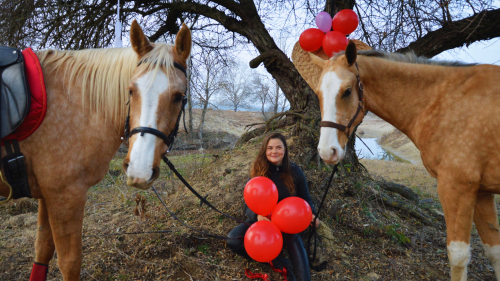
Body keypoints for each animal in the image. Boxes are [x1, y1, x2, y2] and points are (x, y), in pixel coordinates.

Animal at [0, 20, 191, 278]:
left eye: (179, 96)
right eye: (131, 90)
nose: (139, 170)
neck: (80, 103)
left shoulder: (48, 194)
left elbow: (42, 251)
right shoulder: (65, 195)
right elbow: (69, 263)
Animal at [308, 40, 500, 280]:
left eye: (347, 91)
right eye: (318, 94)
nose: (327, 151)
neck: (445, 102)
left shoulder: (457, 188)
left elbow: (458, 256)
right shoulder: (482, 193)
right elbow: (494, 253)